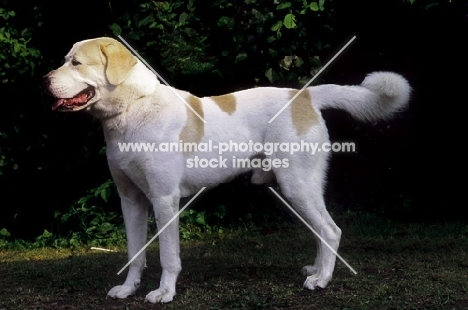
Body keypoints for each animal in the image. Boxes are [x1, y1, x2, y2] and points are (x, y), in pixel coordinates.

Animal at [43, 37, 410, 302]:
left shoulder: (164, 200)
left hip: (297, 186)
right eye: (65, 59)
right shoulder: (131, 200)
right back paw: (317, 271)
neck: (133, 108)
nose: (44, 81)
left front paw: (164, 293)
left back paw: (321, 280)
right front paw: (128, 289)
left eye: (76, 62)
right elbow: (135, 253)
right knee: (322, 230)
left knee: (331, 230)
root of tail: (304, 96)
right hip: (301, 190)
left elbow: (168, 256)